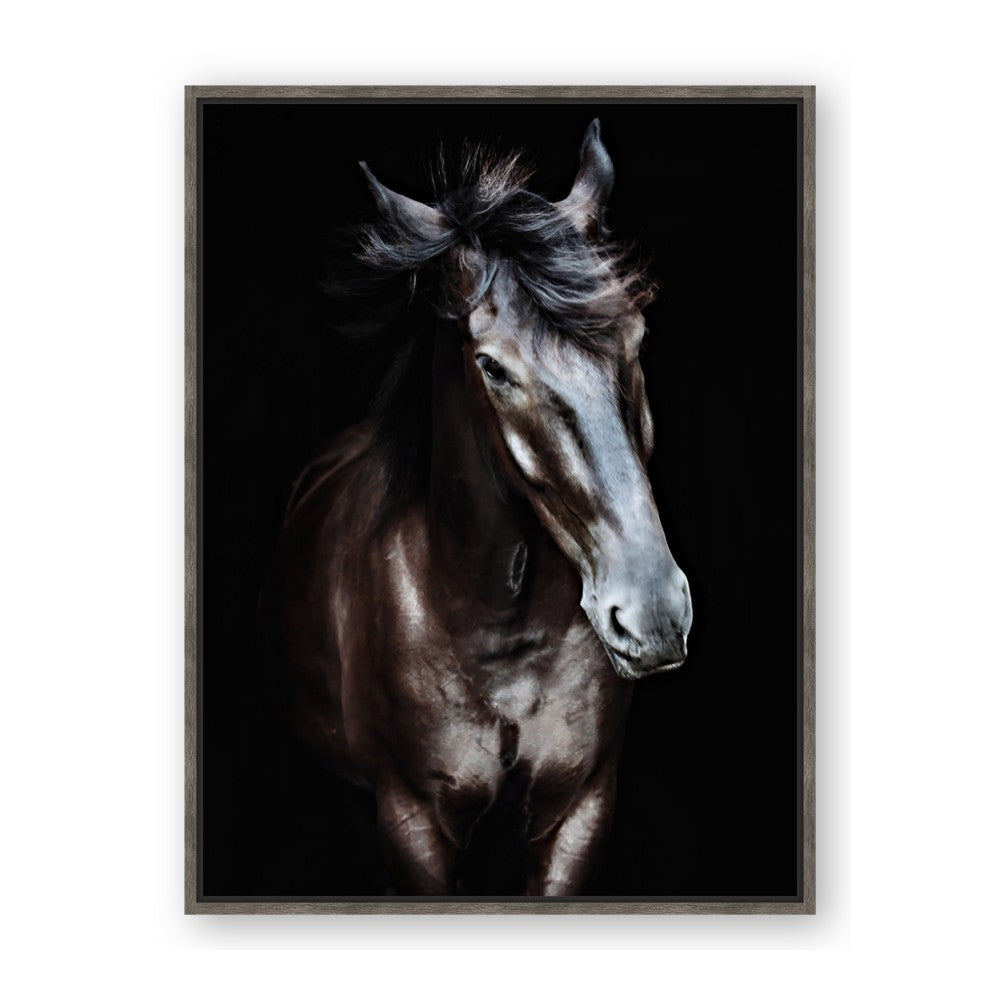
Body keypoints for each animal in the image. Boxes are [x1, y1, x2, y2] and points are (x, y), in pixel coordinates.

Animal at [266, 120, 693, 895]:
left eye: (637, 335)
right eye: (492, 366)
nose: (652, 613)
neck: (499, 632)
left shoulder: (579, 814)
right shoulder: (412, 825)